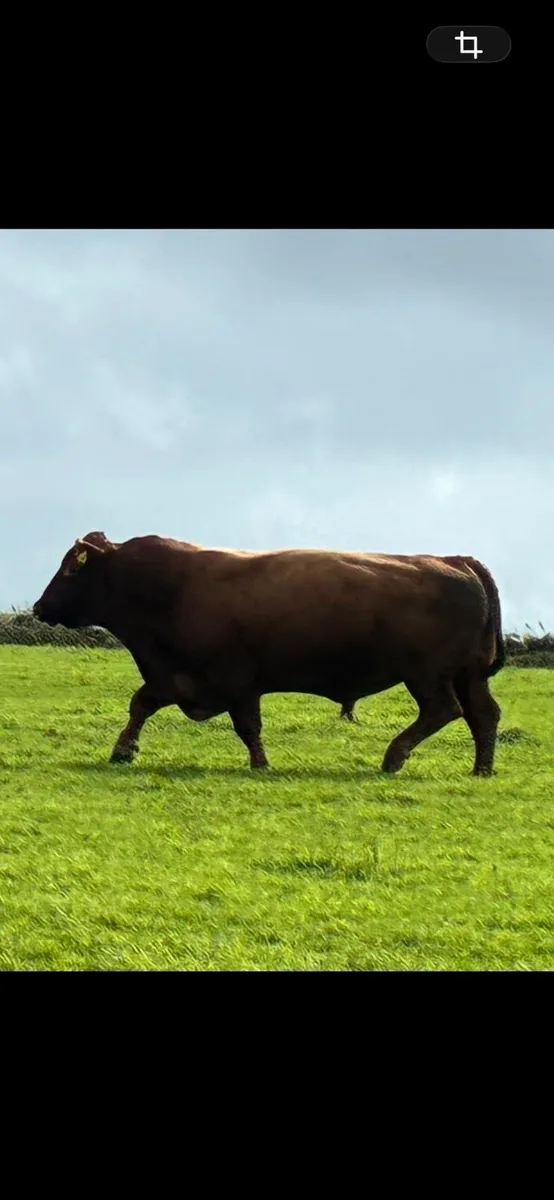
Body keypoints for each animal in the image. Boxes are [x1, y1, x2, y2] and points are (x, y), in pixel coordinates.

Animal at [32, 533, 505, 777]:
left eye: (70, 568)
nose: (39, 607)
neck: (167, 586)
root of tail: (455, 560)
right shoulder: (174, 678)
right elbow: (140, 704)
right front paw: (123, 751)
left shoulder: (235, 683)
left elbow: (247, 727)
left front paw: (260, 764)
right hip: (468, 675)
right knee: (483, 715)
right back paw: (481, 769)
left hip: (427, 676)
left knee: (444, 711)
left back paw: (393, 757)